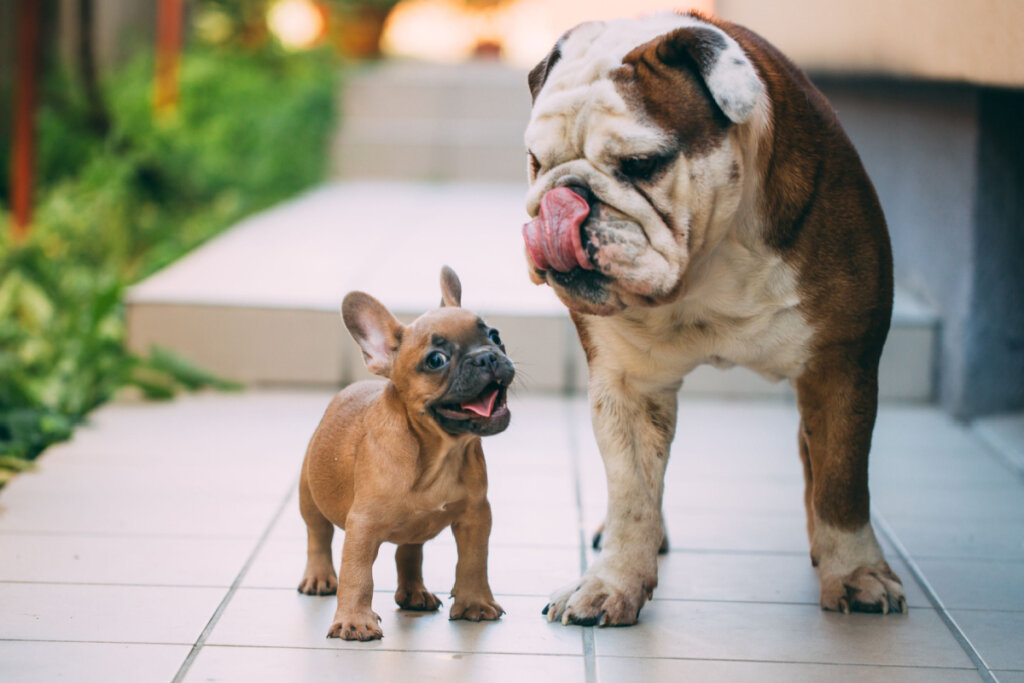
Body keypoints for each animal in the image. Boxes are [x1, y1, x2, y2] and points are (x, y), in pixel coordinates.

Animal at [299, 266, 516, 643]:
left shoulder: (476, 516)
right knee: (318, 536)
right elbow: (358, 575)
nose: (487, 356)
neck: (439, 452)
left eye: (494, 335)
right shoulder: (363, 525)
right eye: (436, 360)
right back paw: (319, 577)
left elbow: (474, 561)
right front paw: (355, 621)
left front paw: (474, 602)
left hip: (414, 528)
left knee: (410, 551)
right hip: (309, 494)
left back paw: (415, 594)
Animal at [524, 13, 909, 626]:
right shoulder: (627, 385)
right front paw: (612, 583)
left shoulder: (841, 367)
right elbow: (632, 493)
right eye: (537, 162)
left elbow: (842, 486)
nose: (565, 197)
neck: (705, 260)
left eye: (641, 165)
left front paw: (856, 573)